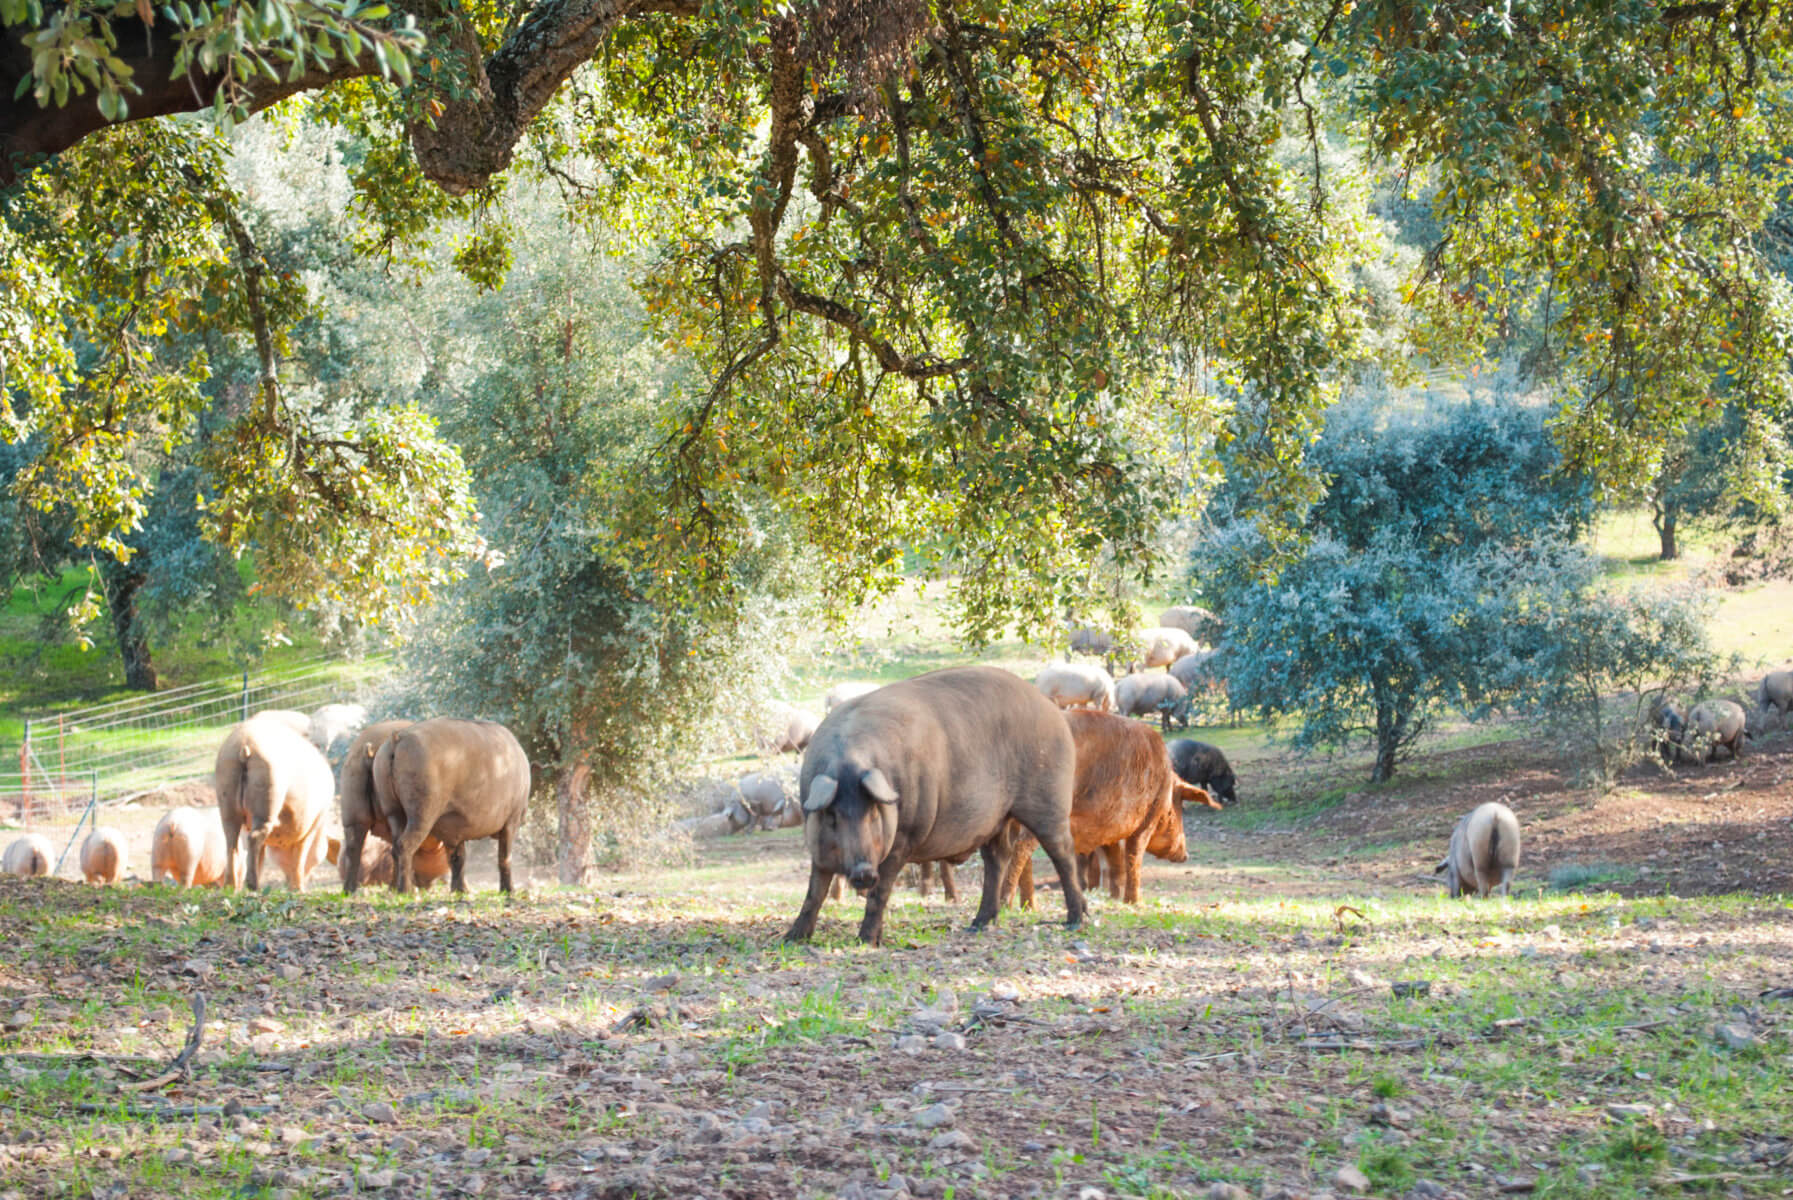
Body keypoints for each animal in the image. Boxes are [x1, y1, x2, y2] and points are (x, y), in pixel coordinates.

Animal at [217, 710, 337, 889]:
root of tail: (245, 746)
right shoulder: (312, 824)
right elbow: (300, 857)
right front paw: (298, 889)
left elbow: (262, 856)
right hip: (269, 787)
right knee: (255, 837)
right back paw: (253, 885)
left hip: (226, 790)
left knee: (232, 842)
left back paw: (232, 887)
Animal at [369, 717, 523, 893]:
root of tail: (398, 738)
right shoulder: (511, 821)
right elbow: (504, 858)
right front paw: (509, 890)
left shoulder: (456, 831)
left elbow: (458, 859)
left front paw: (460, 890)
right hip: (421, 815)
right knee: (405, 845)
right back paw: (406, 890)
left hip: (394, 813)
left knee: (395, 847)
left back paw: (395, 888)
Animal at [788, 663, 1090, 947]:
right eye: (832, 816)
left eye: (872, 814)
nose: (863, 872)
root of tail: (1051, 709)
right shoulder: (819, 850)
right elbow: (814, 892)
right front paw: (792, 939)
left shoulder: (903, 837)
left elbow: (879, 892)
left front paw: (865, 941)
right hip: (996, 818)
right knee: (998, 857)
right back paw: (978, 925)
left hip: (1048, 799)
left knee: (1062, 851)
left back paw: (1075, 921)